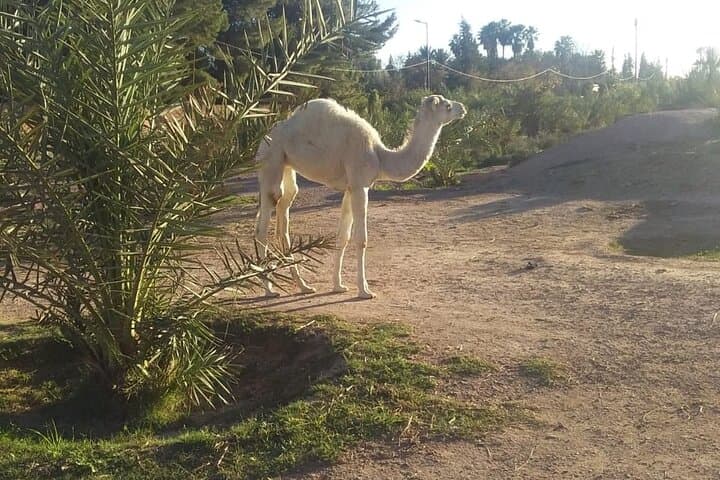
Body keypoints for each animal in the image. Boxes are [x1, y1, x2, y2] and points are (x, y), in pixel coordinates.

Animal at [254, 94, 467, 299]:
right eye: (447, 106)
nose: (463, 108)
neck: (380, 156)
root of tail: (263, 138)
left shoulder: (350, 188)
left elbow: (343, 237)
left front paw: (338, 286)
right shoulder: (360, 186)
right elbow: (361, 239)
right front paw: (364, 290)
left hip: (287, 166)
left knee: (283, 218)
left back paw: (304, 286)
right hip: (271, 160)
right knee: (263, 225)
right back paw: (269, 289)